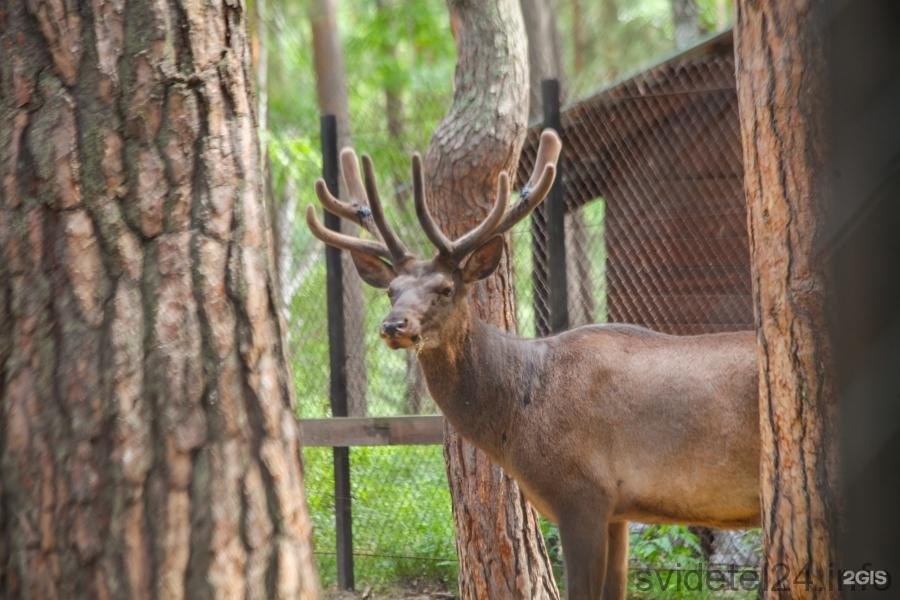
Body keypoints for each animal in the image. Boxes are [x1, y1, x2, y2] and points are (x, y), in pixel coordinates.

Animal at [304, 131, 760, 600]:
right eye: (392, 290)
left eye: (445, 288)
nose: (394, 325)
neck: (517, 421)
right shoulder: (618, 510)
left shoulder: (582, 494)